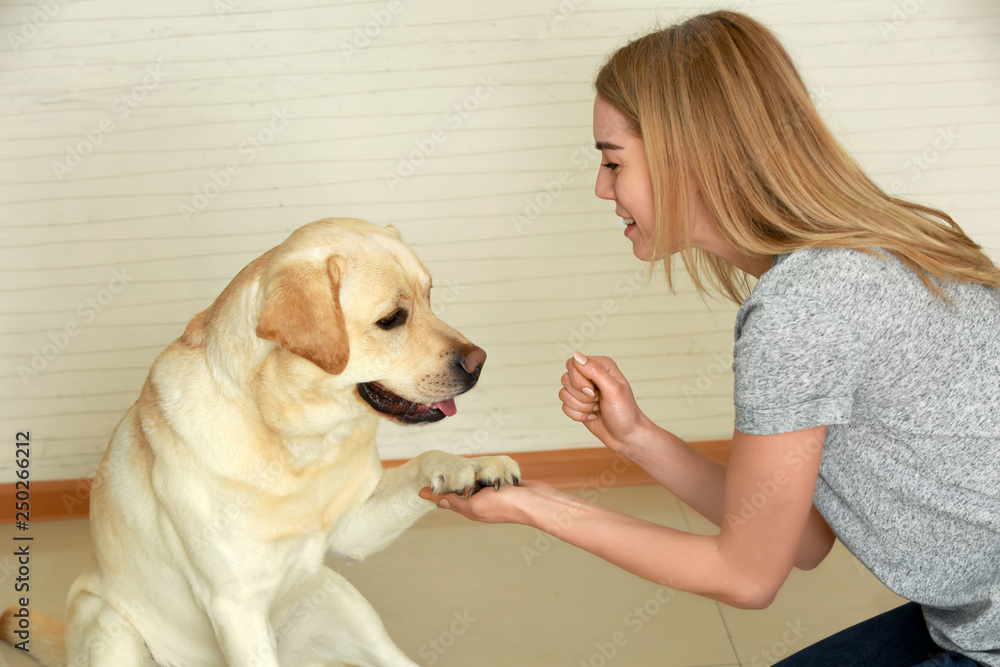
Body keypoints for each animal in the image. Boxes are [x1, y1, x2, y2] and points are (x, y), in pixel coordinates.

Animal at [5, 218, 524, 664]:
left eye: (430, 296)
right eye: (393, 319)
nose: (478, 362)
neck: (295, 440)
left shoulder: (354, 526)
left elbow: (424, 458)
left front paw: (473, 465)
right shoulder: (235, 607)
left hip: (340, 602)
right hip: (107, 622)